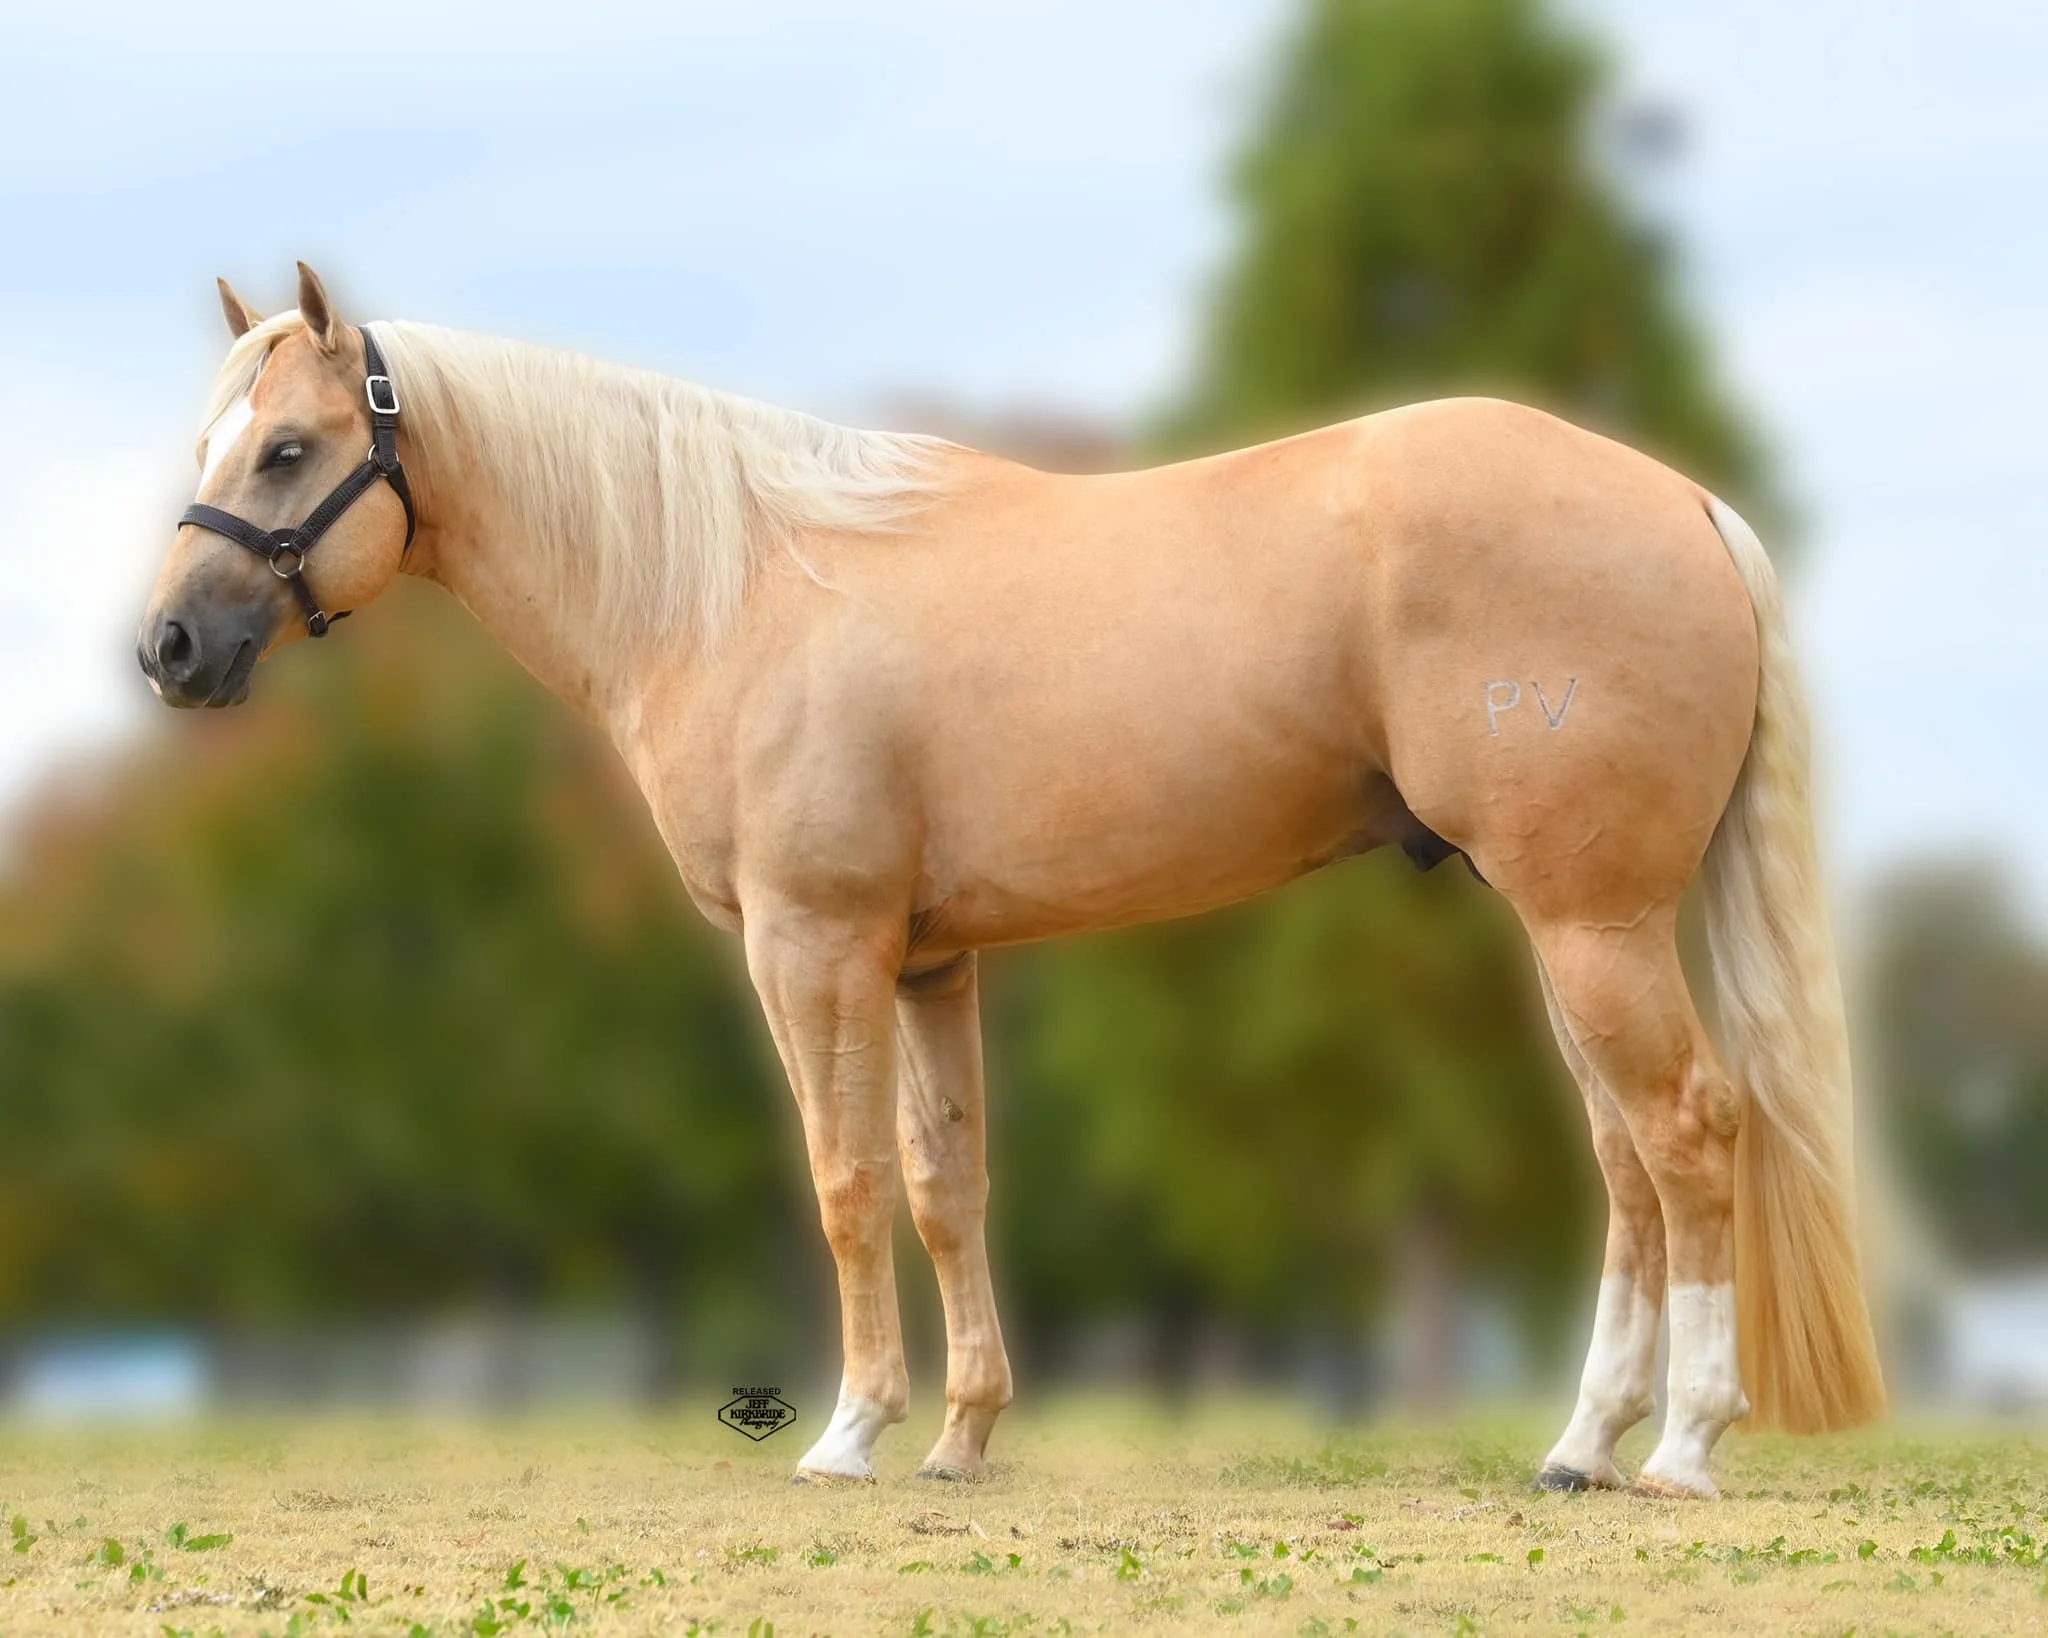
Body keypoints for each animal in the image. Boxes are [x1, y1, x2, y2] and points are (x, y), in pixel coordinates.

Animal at [137, 264, 1884, 1498]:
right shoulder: (929, 961)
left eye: (288, 447)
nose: (168, 648)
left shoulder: (814, 945)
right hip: (1576, 928)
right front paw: (962, 1437)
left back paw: (1684, 1446)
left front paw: (850, 1434)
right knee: (1625, 1161)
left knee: (1688, 1132)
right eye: (215, 441)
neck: (733, 586)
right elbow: (947, 1183)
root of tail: (1679, 502)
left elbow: (845, 1182)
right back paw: (1582, 1444)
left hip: (1591, 923)